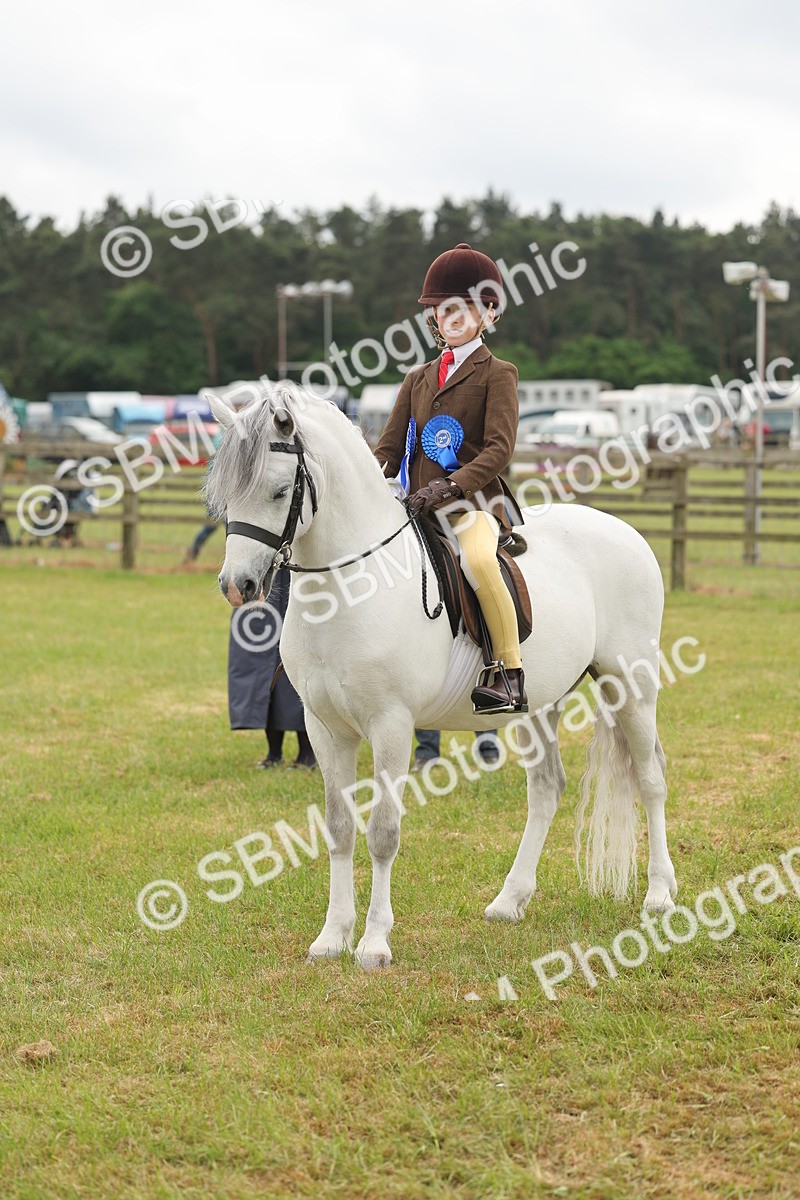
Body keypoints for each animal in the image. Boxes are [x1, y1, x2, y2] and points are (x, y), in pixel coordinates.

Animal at [205, 385, 678, 969]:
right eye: (226, 496)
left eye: (276, 492)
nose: (238, 586)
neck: (348, 586)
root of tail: (626, 531)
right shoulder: (325, 729)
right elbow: (339, 829)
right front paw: (331, 937)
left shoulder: (390, 725)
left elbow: (383, 832)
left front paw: (374, 944)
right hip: (536, 703)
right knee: (547, 789)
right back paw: (509, 900)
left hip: (630, 682)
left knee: (651, 776)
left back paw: (659, 893)